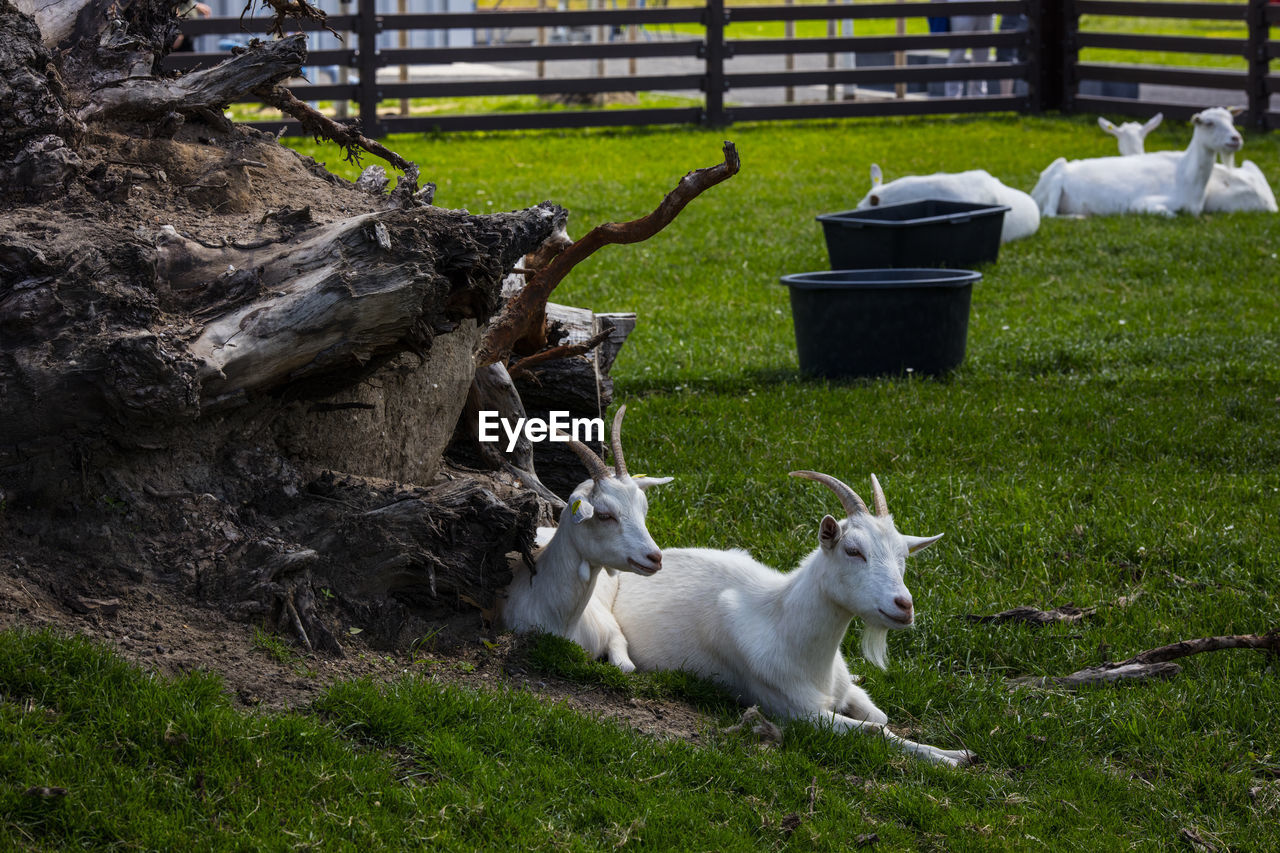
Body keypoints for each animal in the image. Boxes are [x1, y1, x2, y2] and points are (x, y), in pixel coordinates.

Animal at [496, 404, 670, 671]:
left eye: (644, 509)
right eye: (604, 515)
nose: (655, 558)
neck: (565, 622)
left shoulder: (614, 632)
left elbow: (626, 667)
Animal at [1034, 105, 1244, 216]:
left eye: (1232, 121)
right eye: (1208, 123)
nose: (1235, 139)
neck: (1185, 176)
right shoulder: (1141, 204)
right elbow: (1170, 214)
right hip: (1056, 183)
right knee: (1049, 215)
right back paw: (1078, 216)